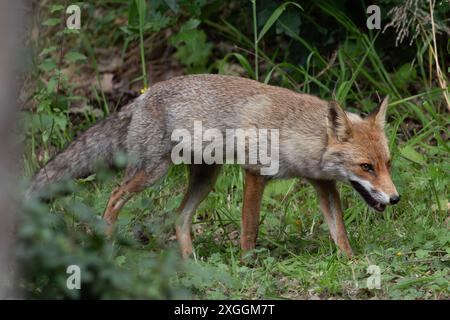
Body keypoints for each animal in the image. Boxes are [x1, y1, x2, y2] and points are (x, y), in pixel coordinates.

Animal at [27, 74, 400, 258]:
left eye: (387, 164)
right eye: (366, 166)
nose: (396, 199)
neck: (295, 132)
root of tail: (142, 96)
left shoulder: (323, 184)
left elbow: (339, 231)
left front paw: (352, 261)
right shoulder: (255, 173)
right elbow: (249, 228)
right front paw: (249, 263)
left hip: (206, 179)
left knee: (179, 218)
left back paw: (190, 261)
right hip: (151, 173)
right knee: (114, 195)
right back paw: (104, 240)